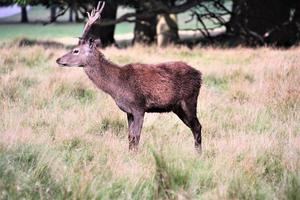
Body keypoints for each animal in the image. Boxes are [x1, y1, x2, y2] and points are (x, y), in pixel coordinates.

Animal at [55, 1, 203, 152]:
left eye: (76, 50)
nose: (58, 59)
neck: (117, 87)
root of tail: (199, 75)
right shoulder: (128, 112)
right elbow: (130, 137)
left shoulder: (139, 107)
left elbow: (136, 137)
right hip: (177, 107)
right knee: (194, 126)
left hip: (189, 100)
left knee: (197, 126)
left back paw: (198, 153)